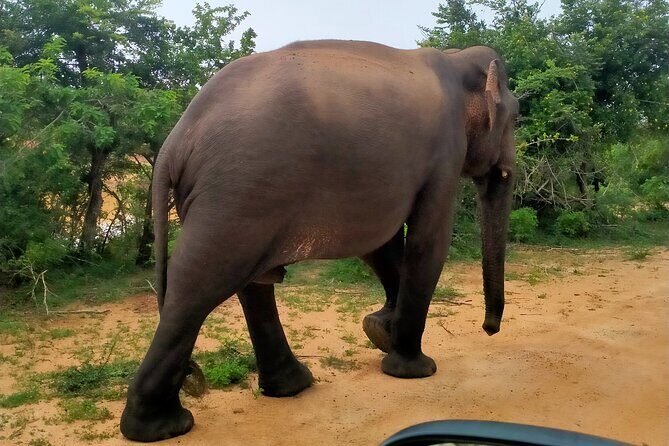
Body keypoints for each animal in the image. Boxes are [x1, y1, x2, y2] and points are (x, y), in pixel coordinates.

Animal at [120, 40, 518, 442]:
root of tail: (174, 142)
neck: (455, 57)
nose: (490, 329)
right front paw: (413, 368)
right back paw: (165, 427)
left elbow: (382, 242)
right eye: (515, 118)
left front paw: (379, 330)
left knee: (247, 285)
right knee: (198, 286)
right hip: (237, 195)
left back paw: (289, 387)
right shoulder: (444, 153)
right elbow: (427, 241)